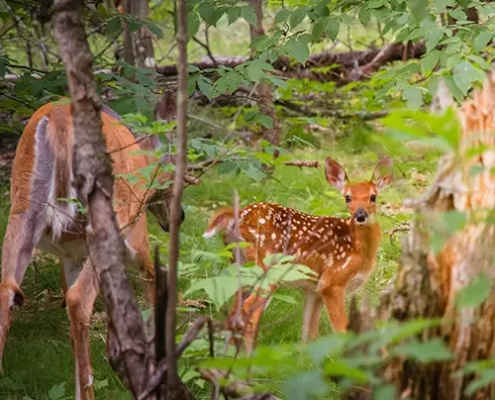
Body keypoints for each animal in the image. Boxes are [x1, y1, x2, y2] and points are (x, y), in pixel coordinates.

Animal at [0, 91, 184, 400]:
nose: (179, 217)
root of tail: (59, 119)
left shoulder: (71, 254)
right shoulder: (136, 236)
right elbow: (152, 278)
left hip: (22, 208)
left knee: (7, 292)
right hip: (109, 217)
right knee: (79, 300)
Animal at [203, 156, 394, 354]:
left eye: (373, 197)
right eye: (347, 197)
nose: (360, 215)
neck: (357, 249)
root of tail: (237, 217)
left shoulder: (313, 289)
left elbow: (309, 334)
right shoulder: (332, 281)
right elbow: (342, 330)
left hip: (240, 265)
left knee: (234, 312)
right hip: (267, 269)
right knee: (248, 314)